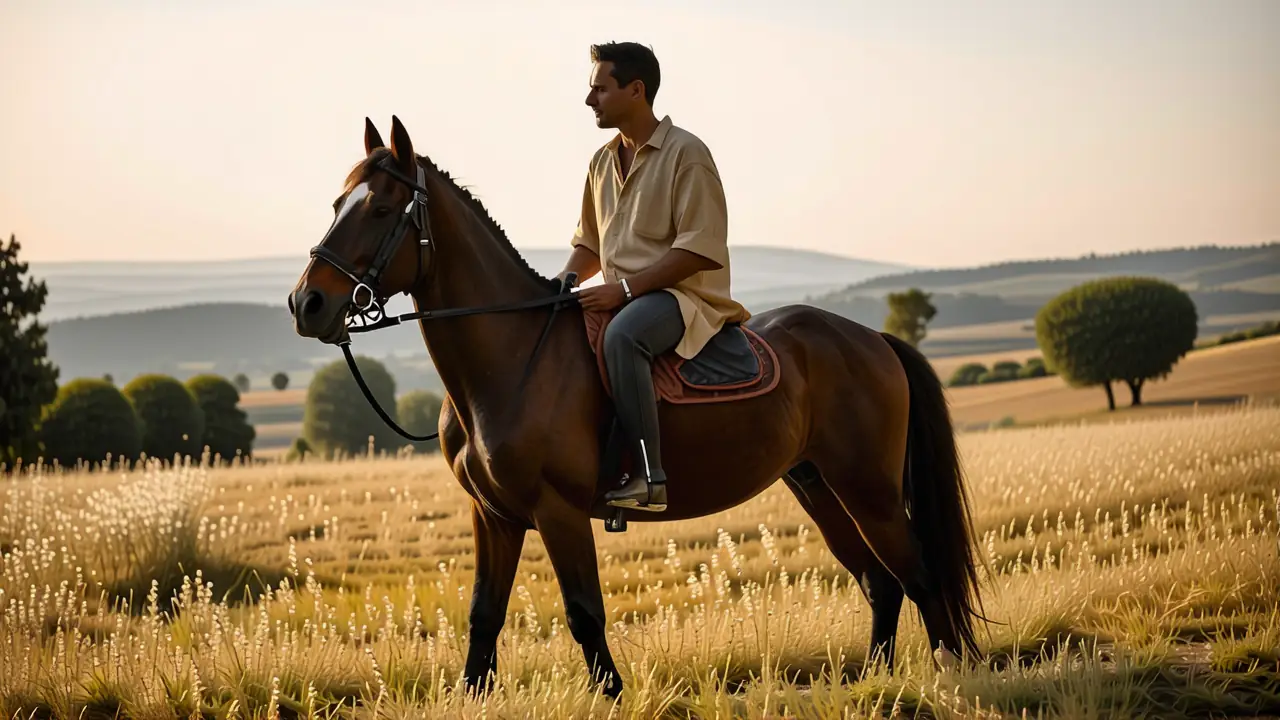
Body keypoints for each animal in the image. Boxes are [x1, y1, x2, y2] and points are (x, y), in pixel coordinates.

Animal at [287, 115, 987, 700]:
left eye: (381, 209)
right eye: (336, 205)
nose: (307, 305)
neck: (510, 360)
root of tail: (872, 339)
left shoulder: (559, 511)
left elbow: (584, 614)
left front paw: (614, 697)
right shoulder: (494, 515)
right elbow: (484, 616)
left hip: (867, 488)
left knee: (919, 575)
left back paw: (951, 678)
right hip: (817, 484)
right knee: (881, 582)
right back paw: (875, 682)